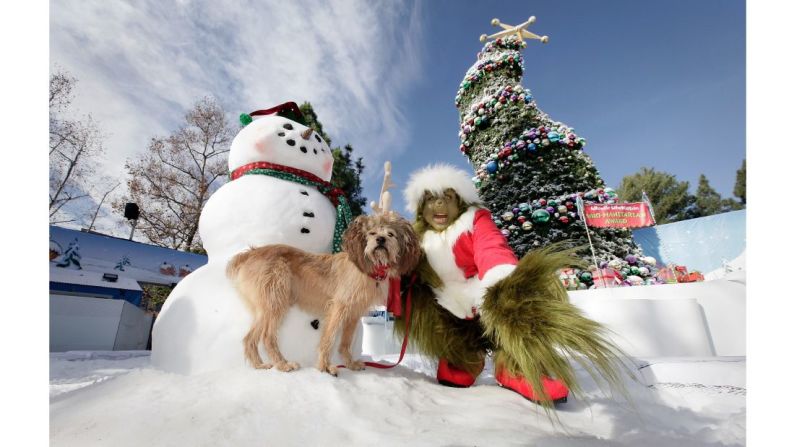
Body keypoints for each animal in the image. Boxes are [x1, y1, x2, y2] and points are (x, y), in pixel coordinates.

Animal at [224, 213, 420, 374]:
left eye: (391, 234)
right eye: (371, 233)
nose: (380, 240)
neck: (370, 267)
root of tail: (250, 253)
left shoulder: (353, 314)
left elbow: (345, 342)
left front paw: (350, 364)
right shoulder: (338, 308)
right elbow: (329, 338)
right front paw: (325, 367)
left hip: (264, 308)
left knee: (249, 338)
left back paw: (259, 365)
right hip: (275, 303)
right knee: (267, 336)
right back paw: (283, 364)